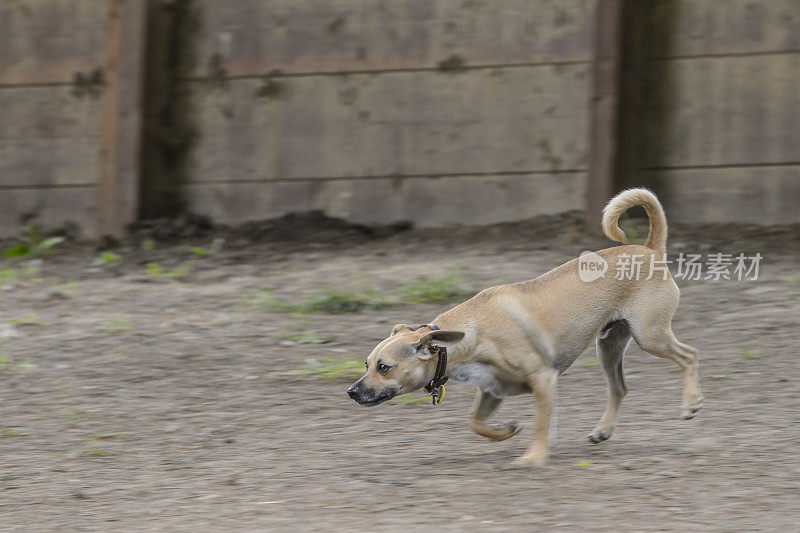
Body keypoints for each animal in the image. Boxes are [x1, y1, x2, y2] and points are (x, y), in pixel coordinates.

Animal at [346, 189, 704, 464]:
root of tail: (649, 249)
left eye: (383, 367)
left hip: (650, 335)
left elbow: (540, 425)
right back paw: (603, 430)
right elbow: (475, 422)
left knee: (689, 356)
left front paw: (533, 457)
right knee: (620, 388)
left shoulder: (543, 379)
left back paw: (690, 403)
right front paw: (506, 431)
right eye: (366, 364)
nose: (351, 391)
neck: (468, 336)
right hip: (609, 346)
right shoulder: (493, 389)